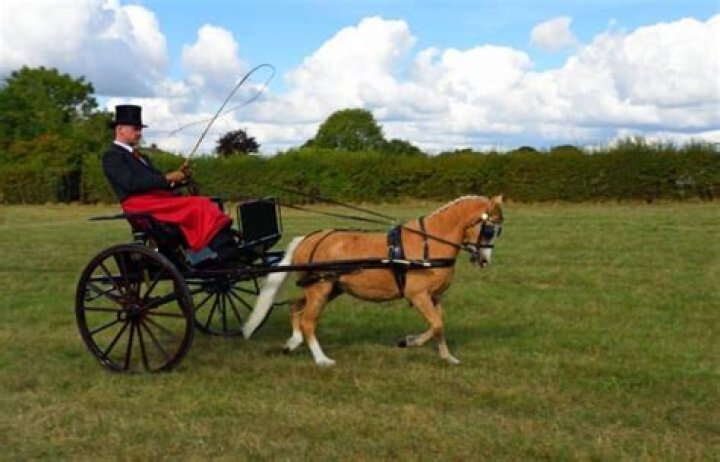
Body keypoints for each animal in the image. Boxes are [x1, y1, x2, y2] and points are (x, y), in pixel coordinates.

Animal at [243, 195, 504, 367]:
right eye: (490, 230)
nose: (485, 260)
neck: (428, 243)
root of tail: (308, 238)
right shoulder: (418, 296)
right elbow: (437, 325)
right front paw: (409, 342)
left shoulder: (434, 297)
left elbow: (438, 326)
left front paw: (447, 357)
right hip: (320, 288)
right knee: (308, 321)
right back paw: (322, 359)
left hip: (328, 287)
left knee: (296, 307)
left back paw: (292, 343)